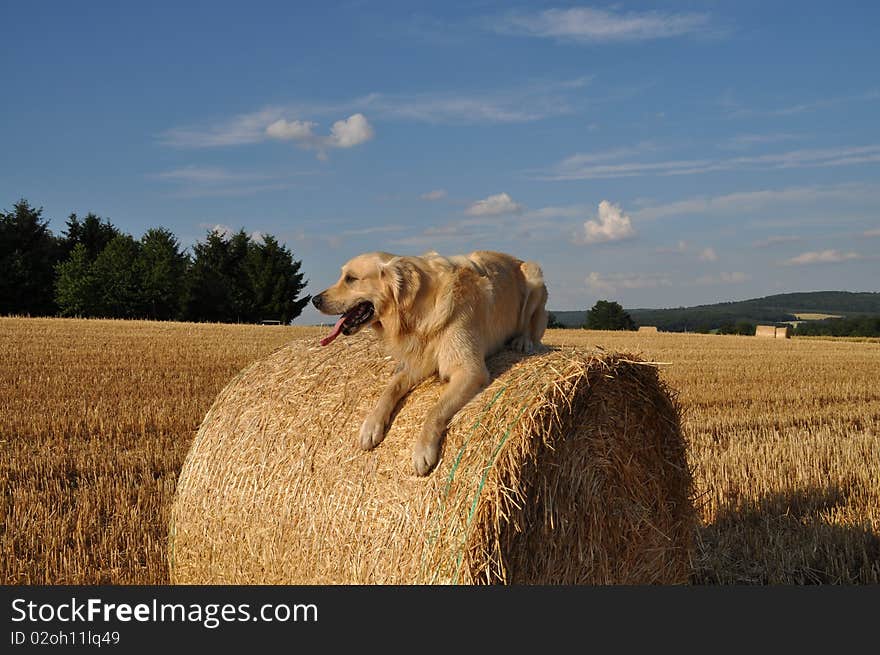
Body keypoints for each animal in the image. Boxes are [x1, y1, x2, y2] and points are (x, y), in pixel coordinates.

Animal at [312, 251, 548, 476]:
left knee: (530, 327)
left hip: (534, 276)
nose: (315, 300)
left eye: (351, 278)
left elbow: (435, 410)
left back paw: (522, 341)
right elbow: (390, 389)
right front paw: (371, 426)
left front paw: (423, 451)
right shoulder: (416, 363)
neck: (416, 311)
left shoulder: (470, 370)